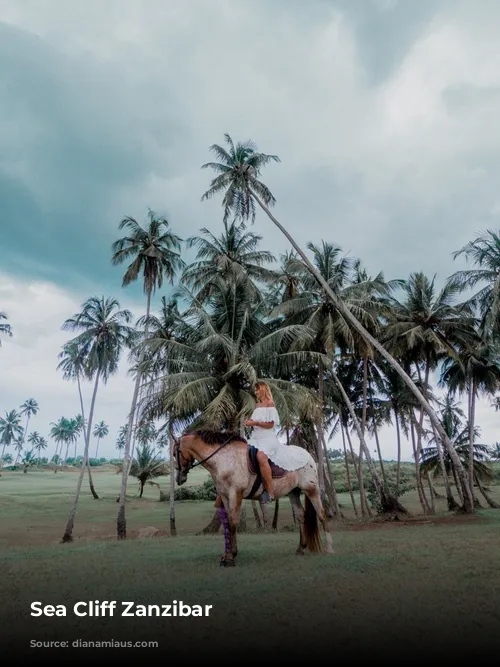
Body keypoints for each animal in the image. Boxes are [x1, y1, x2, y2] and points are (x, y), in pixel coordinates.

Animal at [174, 430, 334, 568]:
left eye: (175, 453)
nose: (179, 478)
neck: (225, 459)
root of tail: (308, 455)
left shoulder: (235, 494)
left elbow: (233, 522)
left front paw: (231, 557)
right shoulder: (225, 496)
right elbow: (227, 524)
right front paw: (226, 555)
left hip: (311, 490)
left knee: (321, 515)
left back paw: (329, 548)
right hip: (293, 492)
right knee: (301, 515)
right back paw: (301, 548)